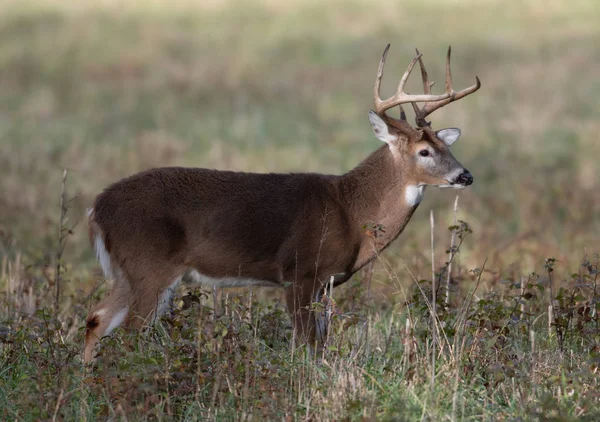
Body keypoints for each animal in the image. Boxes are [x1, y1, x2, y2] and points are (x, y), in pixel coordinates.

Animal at [84, 43, 480, 362]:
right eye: (424, 151)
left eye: (447, 146)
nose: (465, 176)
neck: (351, 211)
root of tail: (97, 208)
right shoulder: (299, 271)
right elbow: (308, 345)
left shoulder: (323, 283)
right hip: (149, 265)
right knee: (128, 332)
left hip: (129, 270)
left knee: (96, 319)